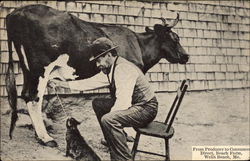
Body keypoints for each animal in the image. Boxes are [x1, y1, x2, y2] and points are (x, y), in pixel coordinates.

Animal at [5, 4, 189, 147]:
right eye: (175, 38)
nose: (186, 56)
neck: (139, 45)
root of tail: (15, 13)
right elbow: (126, 103)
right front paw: (128, 133)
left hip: (28, 69)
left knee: (25, 94)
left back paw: (39, 135)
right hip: (40, 68)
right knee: (33, 97)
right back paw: (46, 138)